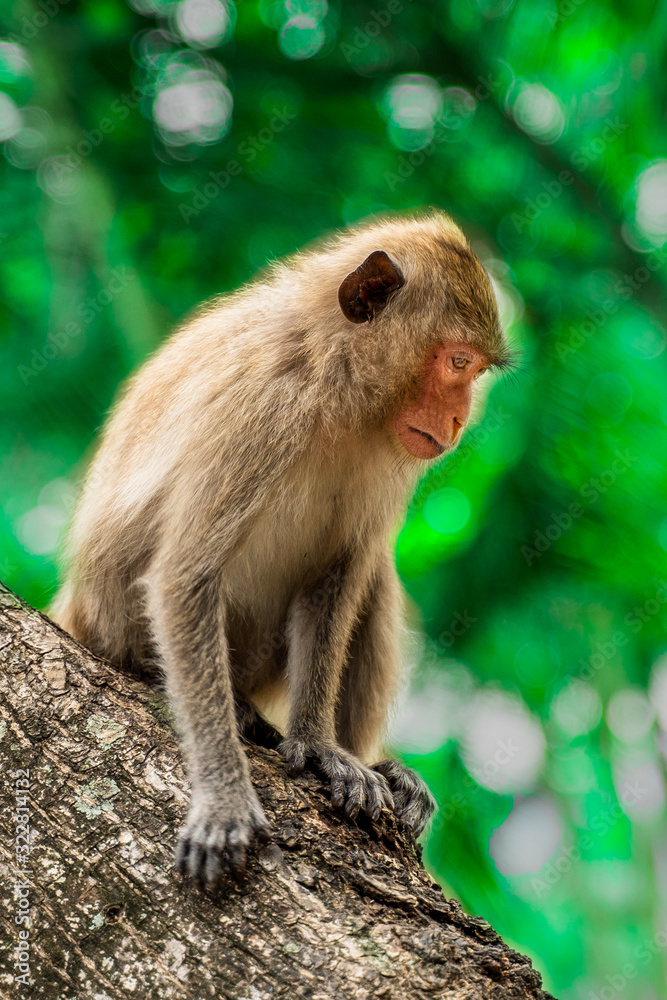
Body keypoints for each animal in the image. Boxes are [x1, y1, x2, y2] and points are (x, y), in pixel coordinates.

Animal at [52, 209, 512, 884]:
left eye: (475, 371)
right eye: (457, 361)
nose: (457, 421)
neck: (334, 383)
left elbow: (338, 576)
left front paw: (321, 748)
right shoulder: (262, 406)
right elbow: (185, 577)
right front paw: (223, 796)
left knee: (373, 575)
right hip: (117, 624)